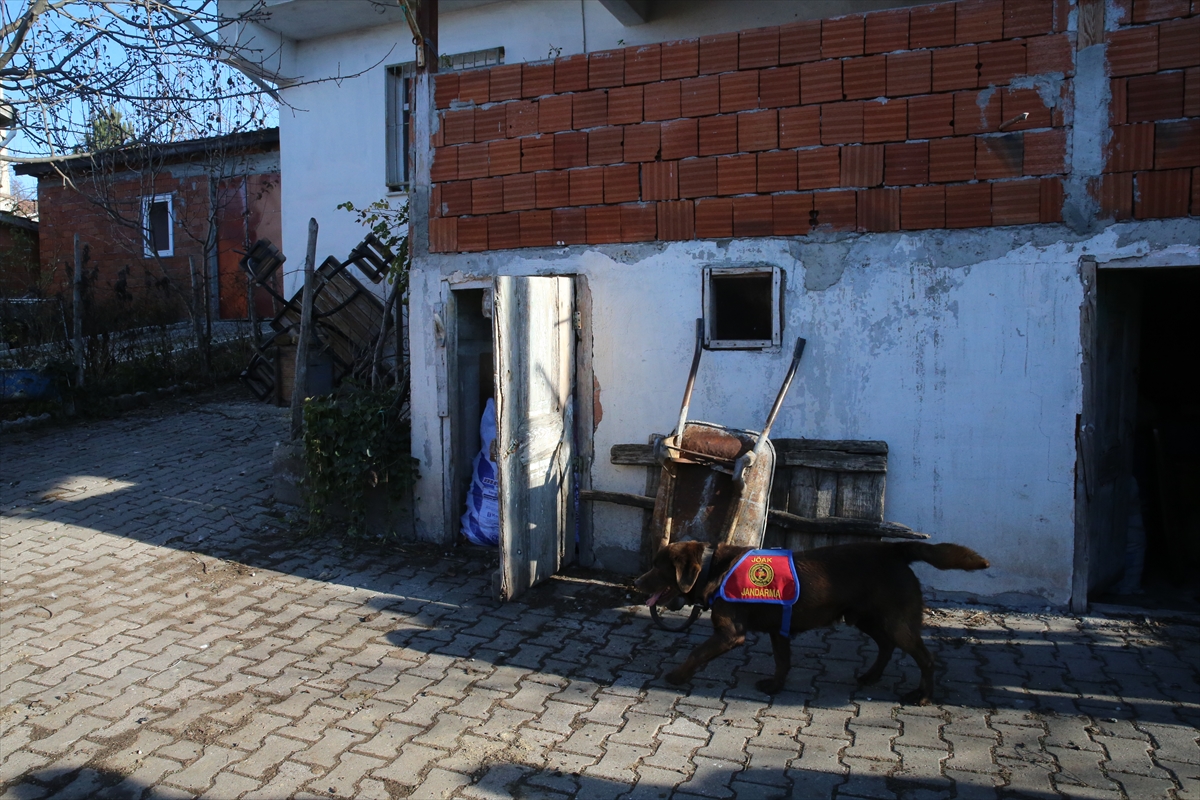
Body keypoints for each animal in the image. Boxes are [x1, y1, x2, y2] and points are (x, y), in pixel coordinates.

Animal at [633, 542, 988, 705]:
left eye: (658, 567)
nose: (636, 582)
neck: (712, 569)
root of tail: (895, 549)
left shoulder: (730, 634)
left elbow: (696, 653)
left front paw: (677, 676)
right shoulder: (779, 630)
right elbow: (782, 661)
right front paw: (775, 686)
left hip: (896, 622)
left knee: (925, 658)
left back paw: (924, 696)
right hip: (865, 617)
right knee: (886, 645)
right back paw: (871, 676)